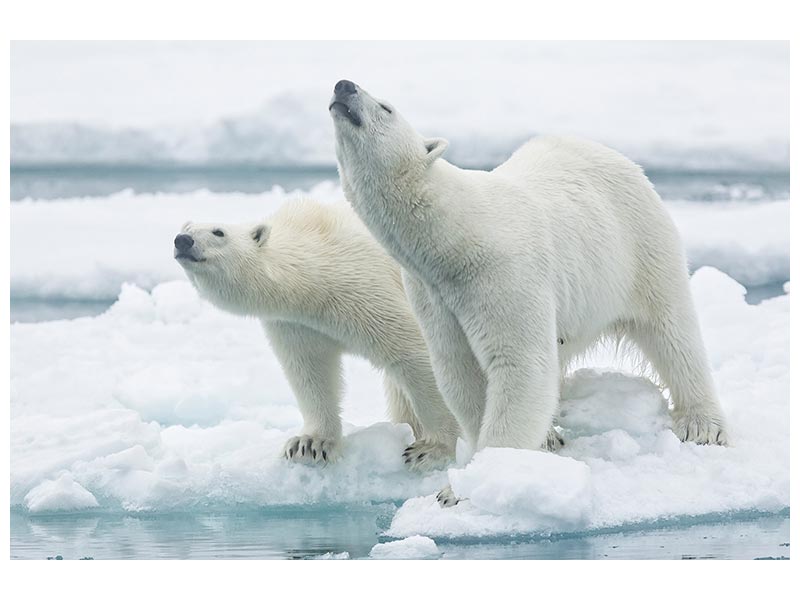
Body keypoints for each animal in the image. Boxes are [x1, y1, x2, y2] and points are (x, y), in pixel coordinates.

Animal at [175, 199, 462, 472]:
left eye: (219, 231)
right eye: (186, 227)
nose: (182, 240)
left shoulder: (366, 288)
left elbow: (414, 352)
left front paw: (432, 450)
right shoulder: (297, 323)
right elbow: (311, 370)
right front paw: (310, 444)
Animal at [328, 78, 728, 492]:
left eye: (386, 107)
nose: (344, 85)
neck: (457, 237)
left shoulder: (503, 273)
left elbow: (521, 364)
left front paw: (467, 486)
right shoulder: (434, 294)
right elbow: (460, 371)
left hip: (639, 245)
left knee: (672, 330)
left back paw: (703, 424)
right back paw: (550, 435)